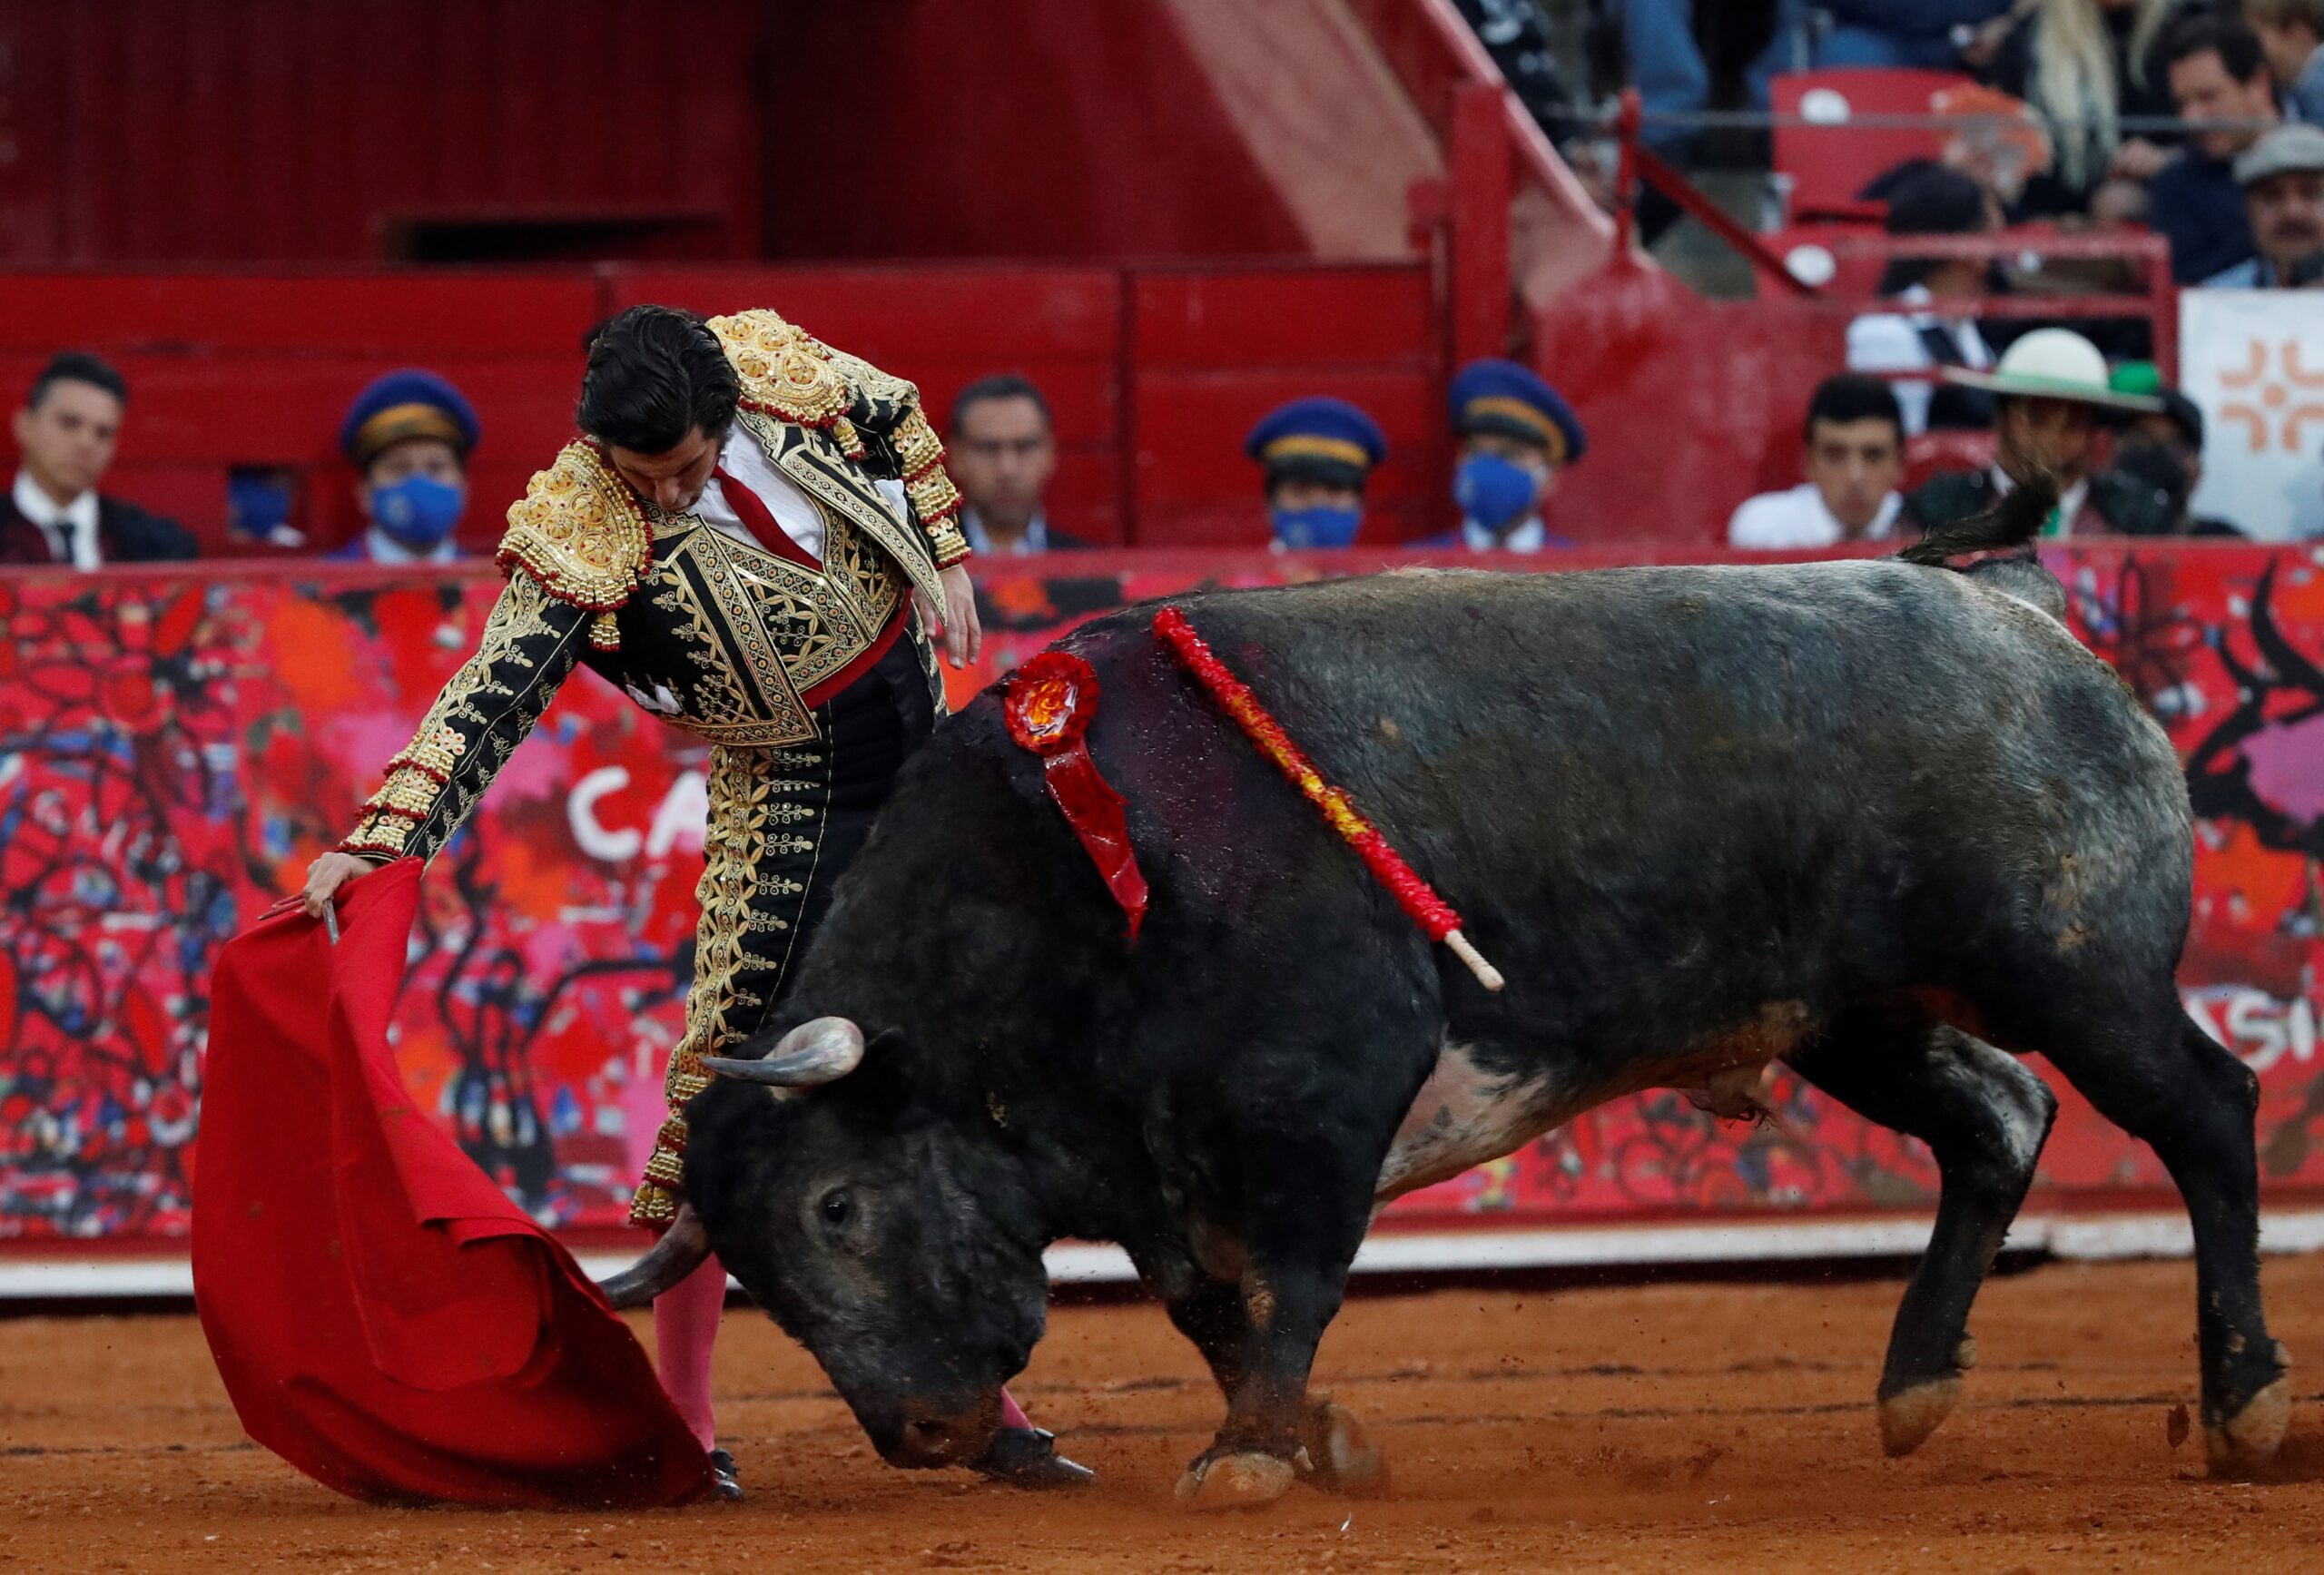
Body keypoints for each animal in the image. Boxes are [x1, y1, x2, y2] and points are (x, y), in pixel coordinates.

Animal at [599, 499, 2287, 1514]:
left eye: (835, 1211)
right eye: (758, 1273)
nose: (925, 1433)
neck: (1083, 866)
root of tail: (2014, 607)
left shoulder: (1322, 1093)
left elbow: (1291, 1280)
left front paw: (1255, 1456)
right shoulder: (1149, 1159)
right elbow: (1207, 1301)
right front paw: (1307, 1438)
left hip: (2078, 969)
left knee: (2207, 1113)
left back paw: (2247, 1406)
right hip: (1854, 1010)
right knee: (1998, 1116)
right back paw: (1918, 1385)